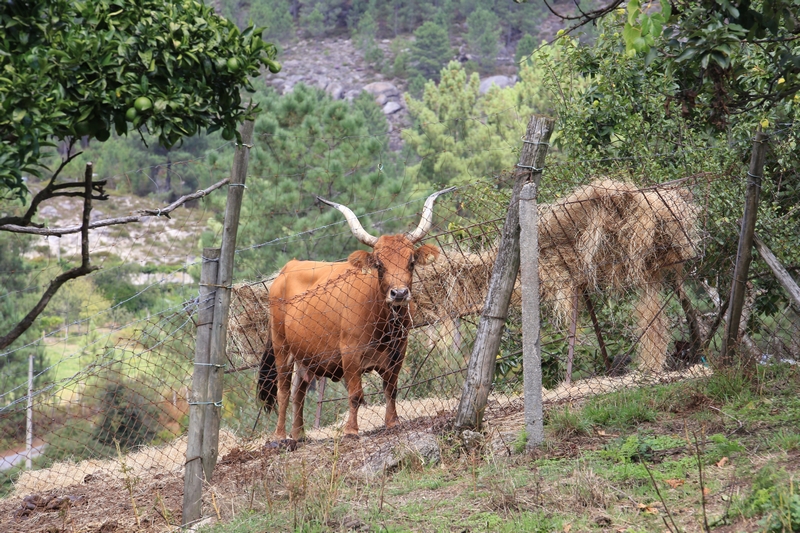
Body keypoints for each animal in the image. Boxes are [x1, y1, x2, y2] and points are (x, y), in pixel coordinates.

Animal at [260, 189, 454, 438]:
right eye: (379, 265)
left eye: (411, 262)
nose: (399, 293)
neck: (382, 323)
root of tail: (287, 269)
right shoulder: (350, 354)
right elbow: (355, 394)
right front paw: (351, 430)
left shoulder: (398, 353)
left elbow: (391, 389)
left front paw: (392, 422)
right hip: (281, 347)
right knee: (283, 390)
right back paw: (279, 436)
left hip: (305, 356)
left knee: (298, 393)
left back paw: (299, 435)